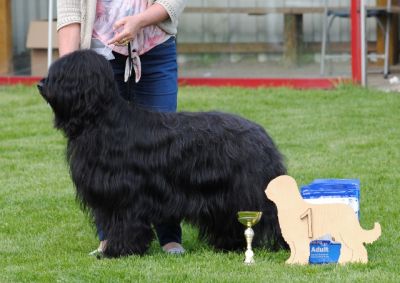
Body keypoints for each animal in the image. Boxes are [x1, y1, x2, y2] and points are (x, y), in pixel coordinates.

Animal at [38, 50, 288, 258]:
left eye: (63, 74)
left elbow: (124, 221)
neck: (102, 120)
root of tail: (261, 134)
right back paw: (229, 246)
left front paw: (119, 250)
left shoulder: (125, 192)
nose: (40, 84)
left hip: (249, 191)